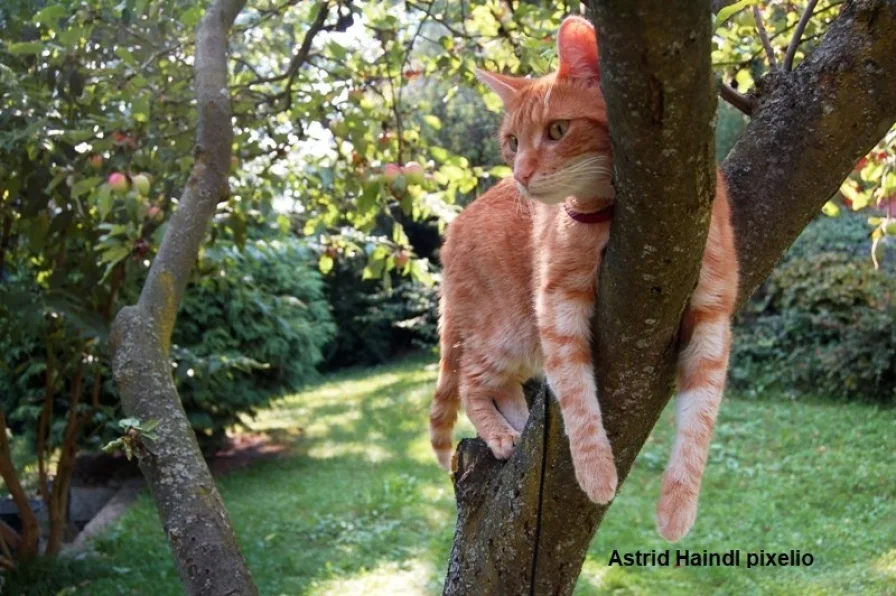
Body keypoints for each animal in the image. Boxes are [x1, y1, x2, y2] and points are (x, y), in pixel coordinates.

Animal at [430, 17, 740, 540]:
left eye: (558, 130)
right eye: (513, 142)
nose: (520, 174)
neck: (608, 215)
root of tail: (454, 229)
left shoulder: (712, 313)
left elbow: (699, 419)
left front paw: (677, 508)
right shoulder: (557, 301)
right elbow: (576, 397)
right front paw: (595, 472)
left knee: (506, 386)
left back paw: (518, 423)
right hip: (506, 332)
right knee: (473, 383)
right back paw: (501, 435)